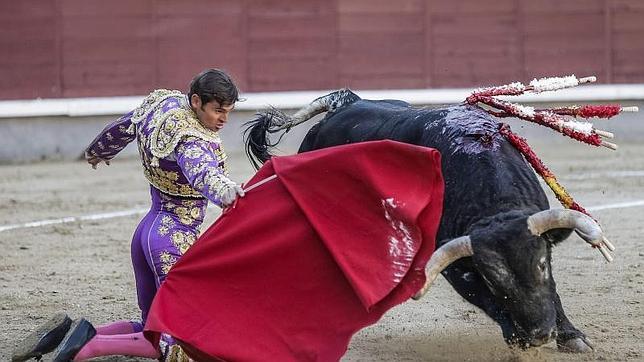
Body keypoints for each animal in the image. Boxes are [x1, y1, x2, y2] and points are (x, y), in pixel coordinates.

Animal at [243, 89, 612, 352]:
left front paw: (570, 335)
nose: (537, 334)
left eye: (542, 264)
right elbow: (485, 299)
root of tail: (347, 103)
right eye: (492, 279)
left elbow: (554, 291)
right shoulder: (456, 267)